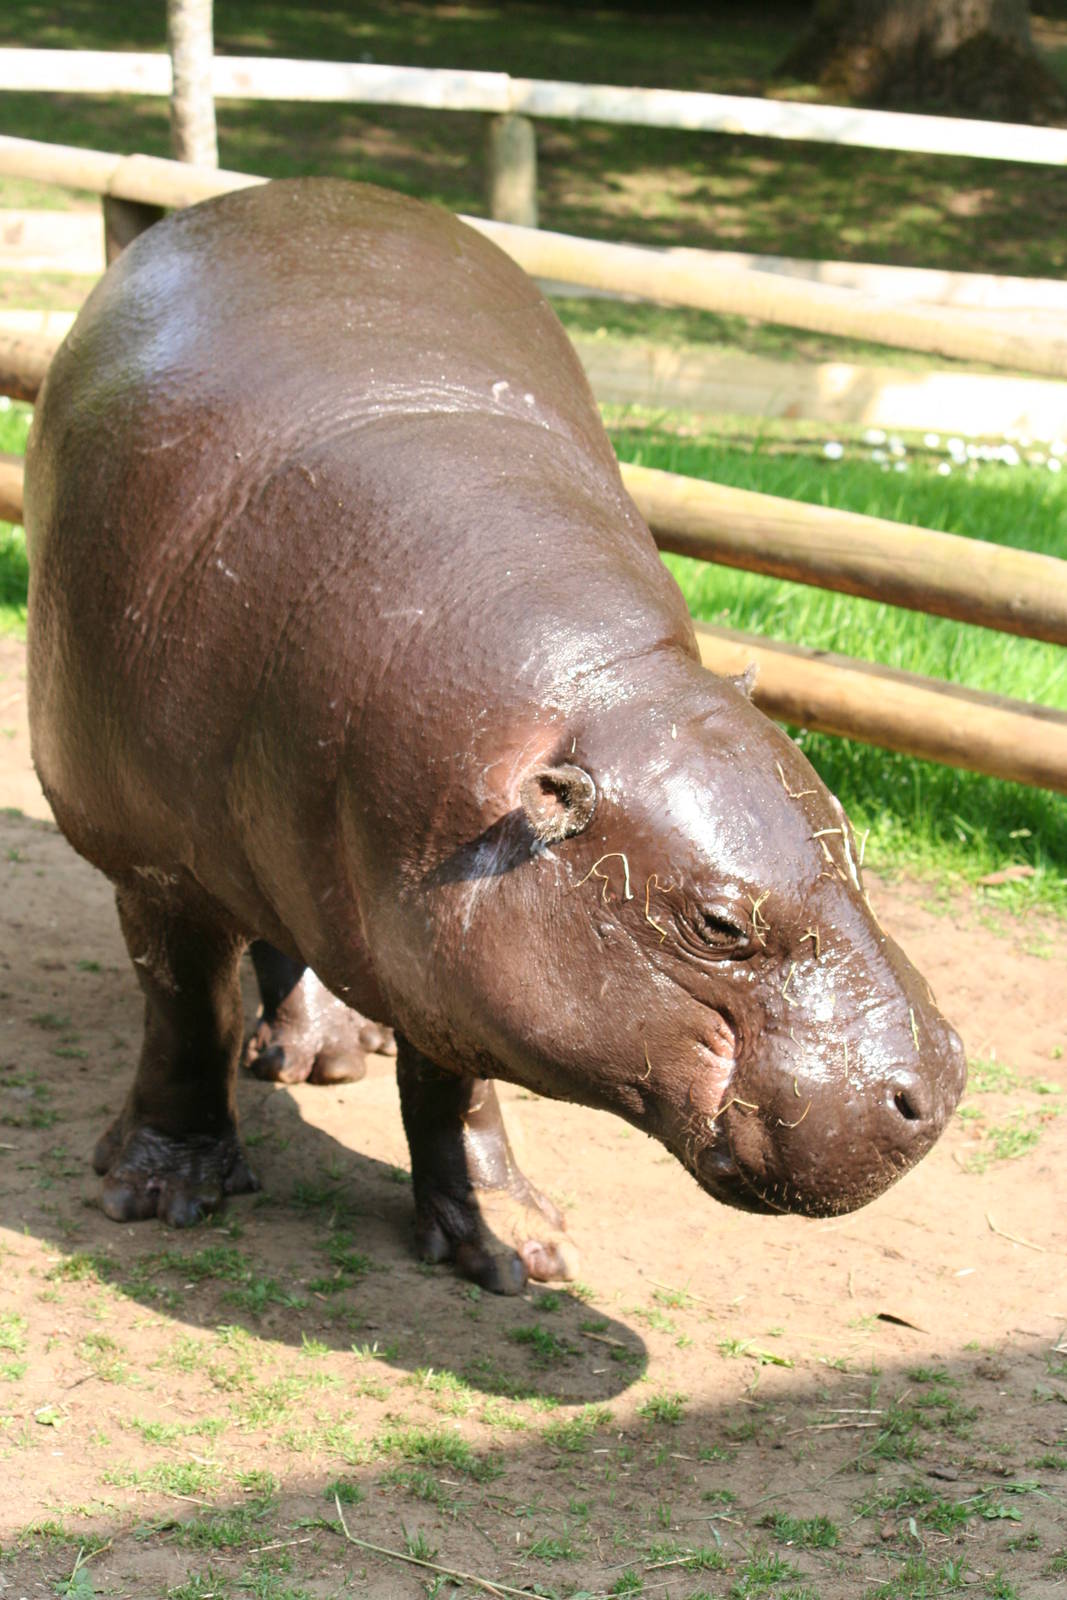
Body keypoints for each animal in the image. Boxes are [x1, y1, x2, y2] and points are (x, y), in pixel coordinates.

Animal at [24, 178, 966, 1293]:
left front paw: (516, 1246)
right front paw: (160, 1194)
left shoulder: (442, 940)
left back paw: (332, 1052)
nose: (938, 1087)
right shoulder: (152, 860)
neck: (594, 692)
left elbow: (453, 1084)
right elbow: (183, 1015)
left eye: (852, 846)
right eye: (714, 926)